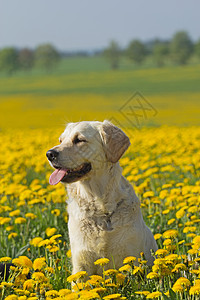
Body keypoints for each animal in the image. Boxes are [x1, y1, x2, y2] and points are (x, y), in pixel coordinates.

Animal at [47, 120, 158, 276]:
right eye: (61, 140)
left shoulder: (131, 257)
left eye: (79, 140)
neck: (102, 208)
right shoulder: (81, 263)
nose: (49, 154)